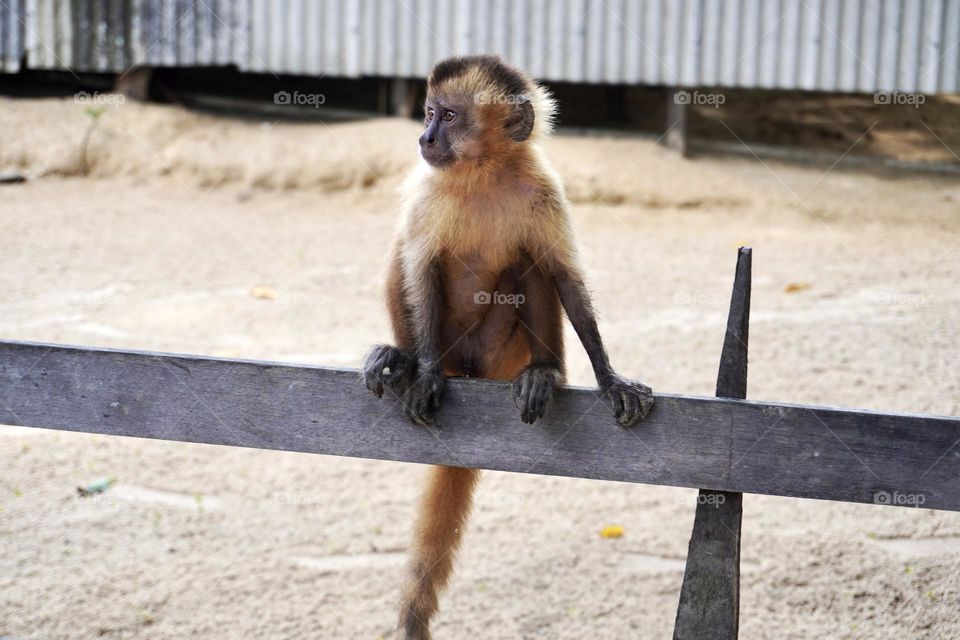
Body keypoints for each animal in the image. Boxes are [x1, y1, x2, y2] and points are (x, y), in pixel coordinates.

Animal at [364, 56, 656, 640]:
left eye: (449, 116)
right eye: (430, 113)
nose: (425, 137)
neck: (484, 171)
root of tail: (473, 369)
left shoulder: (543, 189)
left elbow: (565, 278)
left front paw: (610, 378)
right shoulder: (428, 187)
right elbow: (420, 269)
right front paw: (423, 374)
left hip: (502, 352)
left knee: (530, 260)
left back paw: (547, 372)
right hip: (456, 346)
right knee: (405, 253)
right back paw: (404, 360)